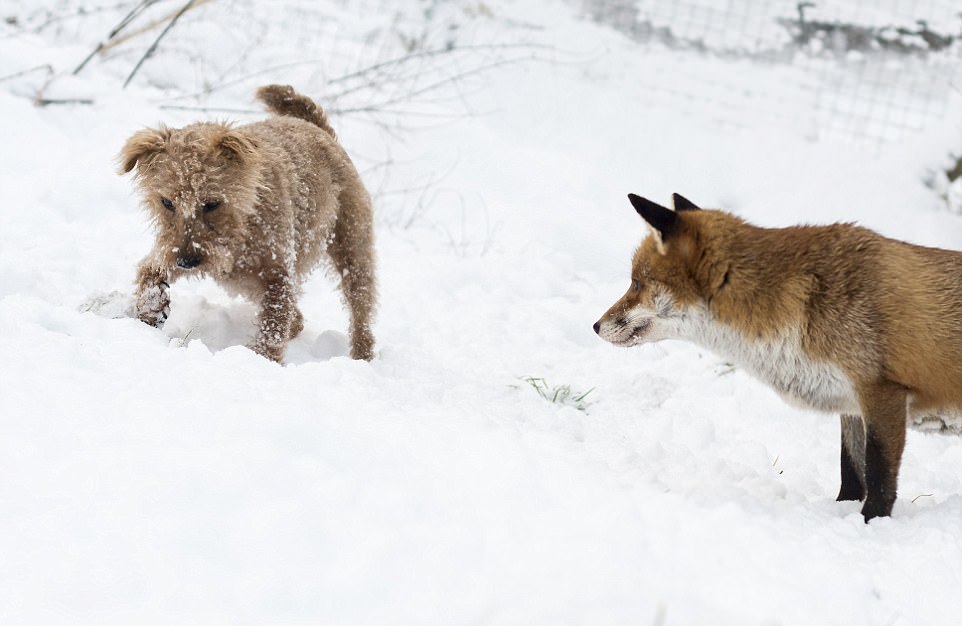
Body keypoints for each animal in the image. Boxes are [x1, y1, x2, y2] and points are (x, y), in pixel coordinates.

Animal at [116, 86, 376, 360]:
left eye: (212, 203)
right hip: (246, 281)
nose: (186, 262)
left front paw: (260, 358)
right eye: (166, 202)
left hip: (352, 247)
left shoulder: (277, 273)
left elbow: (273, 324)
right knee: (298, 318)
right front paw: (153, 307)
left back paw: (362, 354)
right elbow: (149, 268)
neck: (241, 229)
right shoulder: (180, 251)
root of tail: (318, 128)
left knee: (360, 307)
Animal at [592, 193, 960, 520]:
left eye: (635, 283)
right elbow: (852, 471)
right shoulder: (851, 404)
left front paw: (871, 524)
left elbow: (880, 477)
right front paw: (842, 512)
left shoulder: (881, 392)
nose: (595, 326)